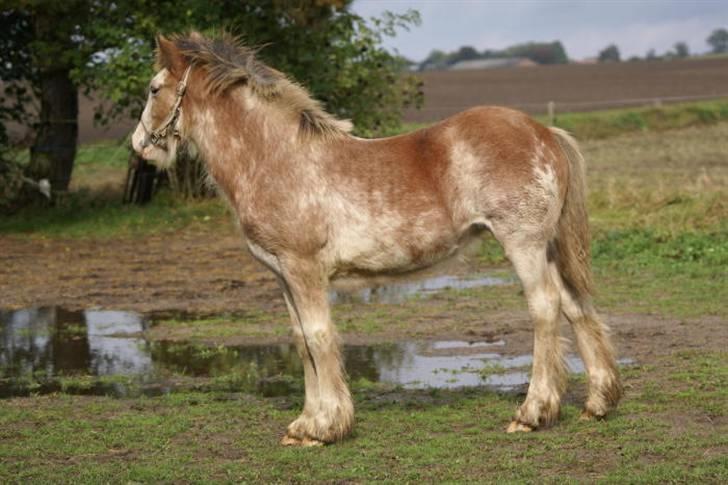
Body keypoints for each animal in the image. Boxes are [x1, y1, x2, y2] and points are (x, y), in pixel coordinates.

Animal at [131, 32, 620, 444]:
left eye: (154, 89)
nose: (140, 145)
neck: (278, 159)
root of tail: (544, 132)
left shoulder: (304, 271)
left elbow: (320, 337)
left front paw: (325, 428)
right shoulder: (282, 275)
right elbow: (301, 341)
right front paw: (304, 425)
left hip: (524, 245)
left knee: (545, 309)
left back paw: (532, 413)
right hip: (548, 249)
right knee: (576, 306)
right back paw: (597, 403)